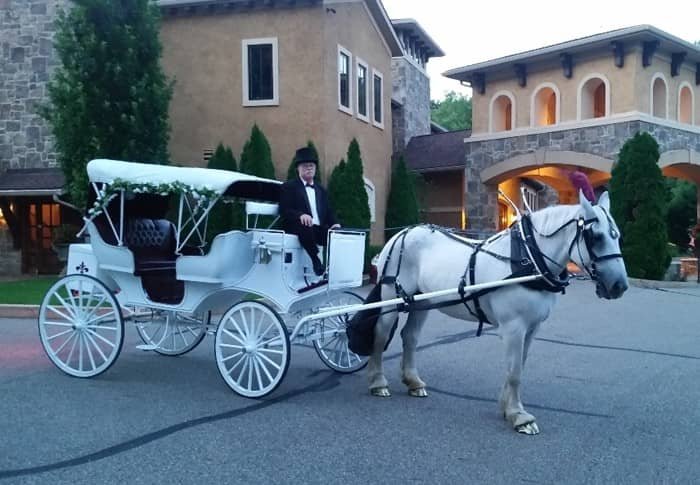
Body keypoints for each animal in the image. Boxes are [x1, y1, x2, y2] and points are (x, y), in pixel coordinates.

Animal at [370, 190, 628, 434]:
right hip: (391, 297)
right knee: (381, 334)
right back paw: (378, 382)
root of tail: (402, 234)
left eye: (617, 236)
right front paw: (520, 416)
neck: (528, 259)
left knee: (410, 337)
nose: (619, 286)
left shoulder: (532, 327)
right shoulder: (514, 326)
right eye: (596, 236)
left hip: (419, 302)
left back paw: (413, 382)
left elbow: (519, 365)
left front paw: (507, 408)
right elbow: (514, 372)